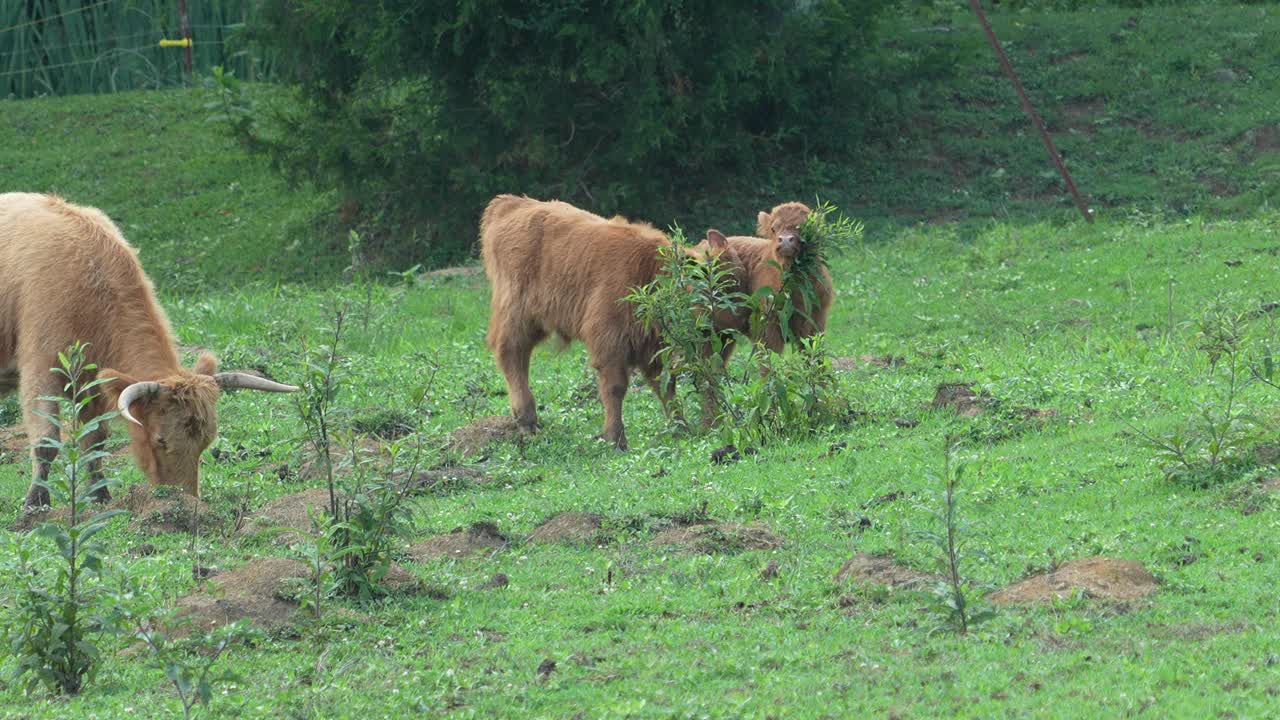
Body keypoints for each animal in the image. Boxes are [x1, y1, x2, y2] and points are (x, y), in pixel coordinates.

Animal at [481, 193, 742, 445]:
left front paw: (680, 427)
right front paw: (615, 437)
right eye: (718, 287)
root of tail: (510, 203)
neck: (650, 271)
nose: (734, 326)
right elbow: (615, 388)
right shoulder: (609, 342)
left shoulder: (652, 348)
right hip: (518, 317)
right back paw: (527, 420)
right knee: (512, 355)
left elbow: (666, 385)